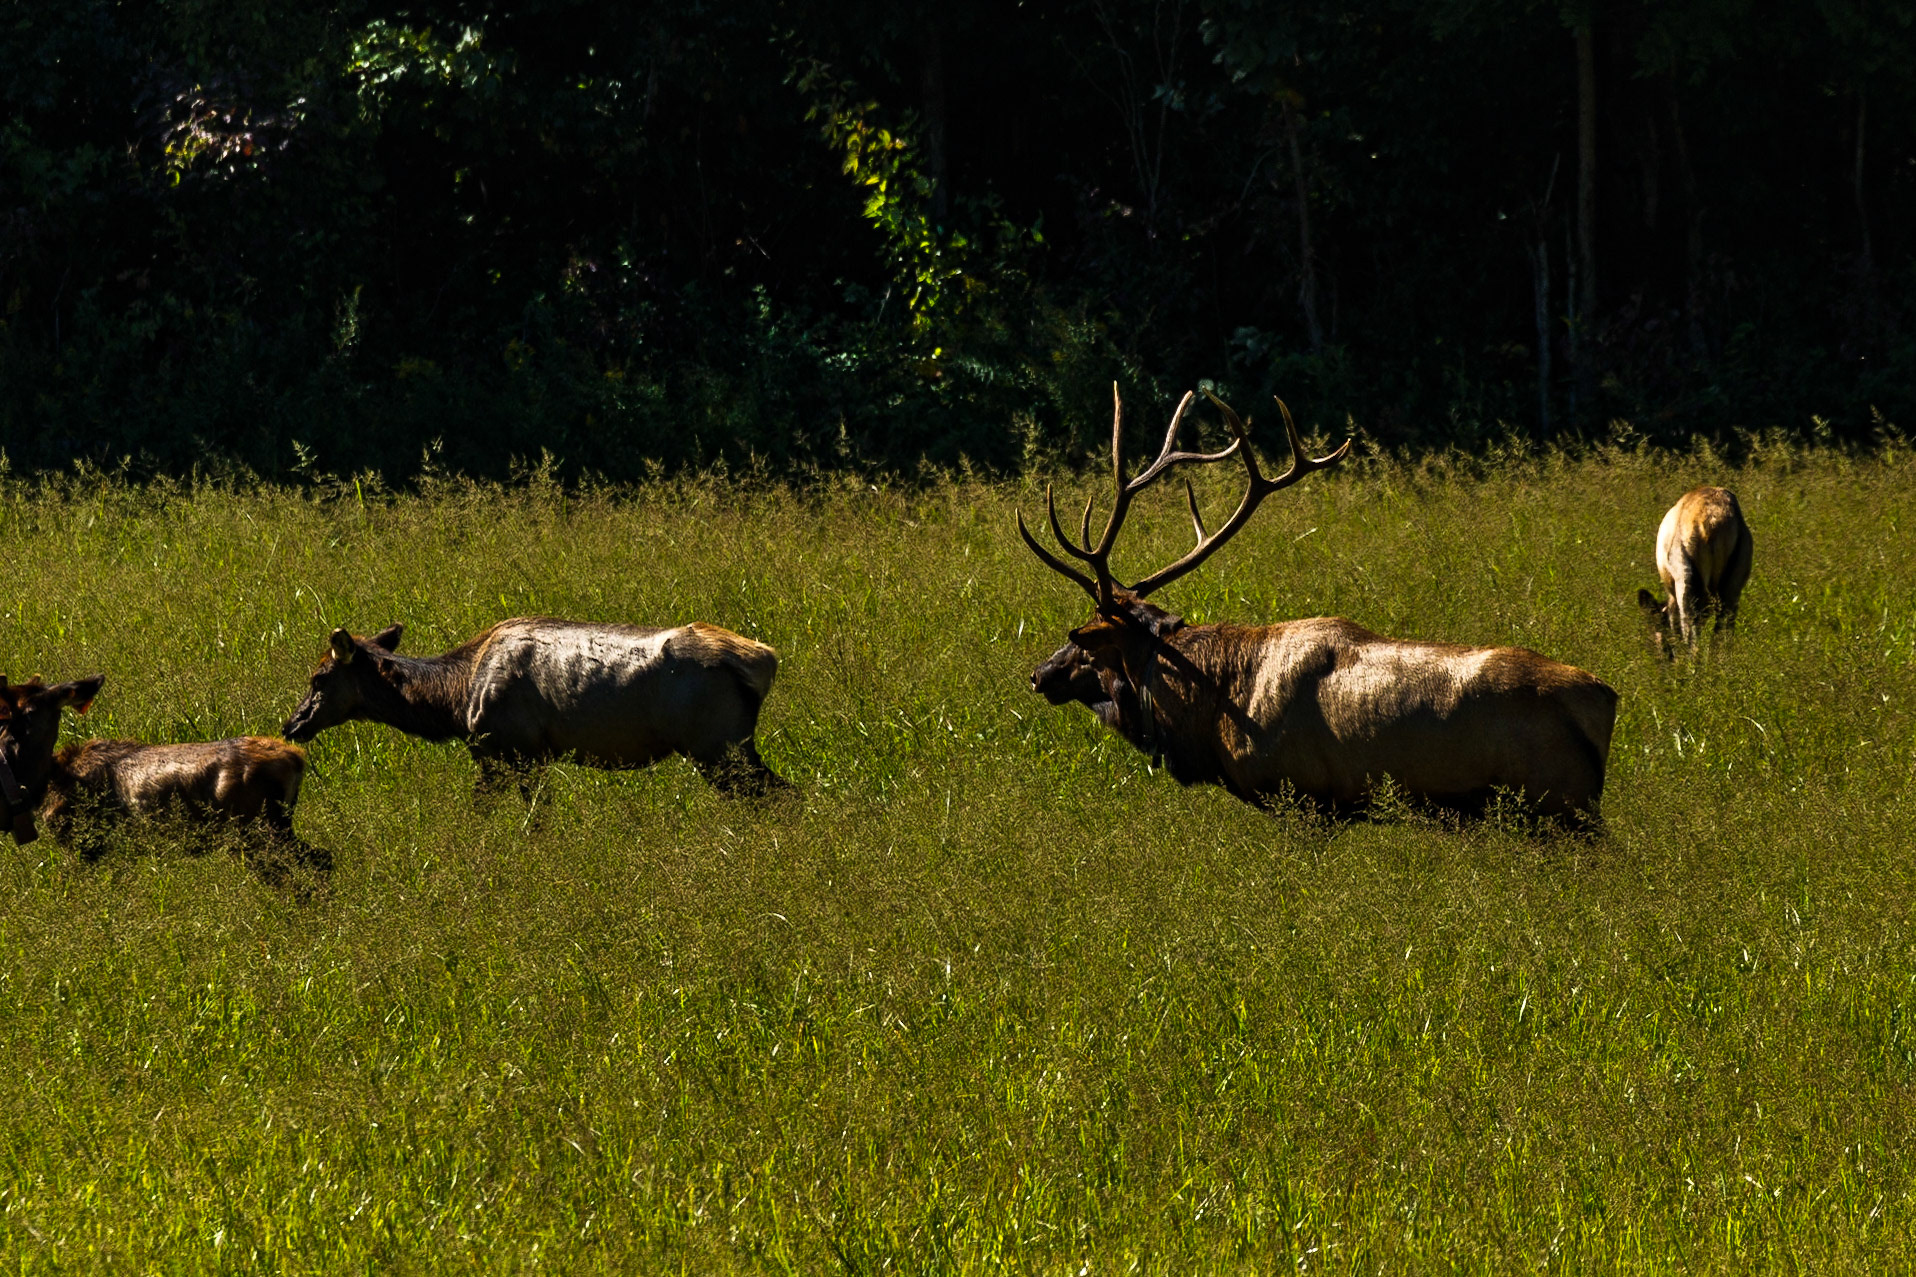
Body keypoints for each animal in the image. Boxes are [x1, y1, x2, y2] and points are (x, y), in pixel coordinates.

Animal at [282, 617, 786, 795]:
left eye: (319, 678)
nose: (292, 725)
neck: (455, 701)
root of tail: (765, 660)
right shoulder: (527, 758)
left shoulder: (513, 750)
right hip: (728, 747)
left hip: (718, 745)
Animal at [1019, 386, 1619, 823]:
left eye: (1083, 641)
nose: (1037, 674)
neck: (1211, 707)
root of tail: (1605, 699)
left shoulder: (1302, 795)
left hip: (1559, 805)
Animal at [1636, 486, 1753, 655]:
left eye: (1656, 628)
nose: (1662, 657)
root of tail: (1713, 523)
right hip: (1734, 578)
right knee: (1723, 630)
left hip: (1685, 573)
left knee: (1691, 632)